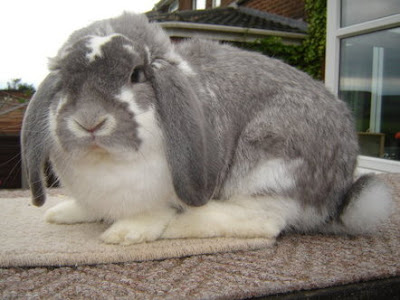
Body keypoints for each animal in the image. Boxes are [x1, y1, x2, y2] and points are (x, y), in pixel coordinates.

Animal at [20, 12, 392, 245]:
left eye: (137, 75)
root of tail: (336, 198)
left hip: (270, 162)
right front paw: (62, 213)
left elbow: (150, 213)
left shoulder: (159, 195)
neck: (105, 162)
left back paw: (181, 226)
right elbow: (89, 207)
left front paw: (125, 234)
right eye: (65, 81)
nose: (90, 121)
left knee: (265, 221)